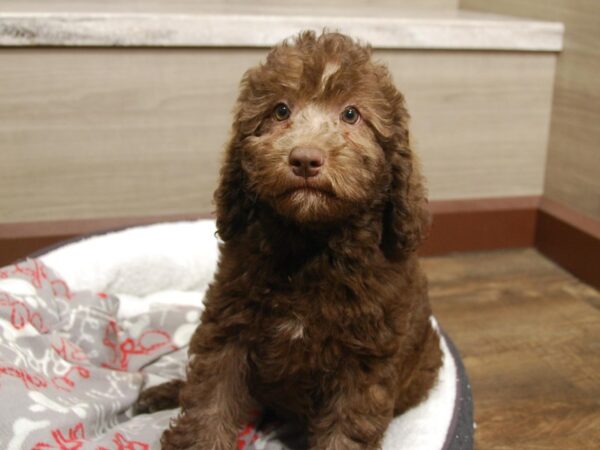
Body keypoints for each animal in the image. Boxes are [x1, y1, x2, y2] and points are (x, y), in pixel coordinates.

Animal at [138, 31, 442, 450]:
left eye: (351, 114)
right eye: (281, 111)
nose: (305, 159)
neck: (310, 242)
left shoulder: (364, 361)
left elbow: (345, 430)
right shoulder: (228, 325)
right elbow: (210, 399)